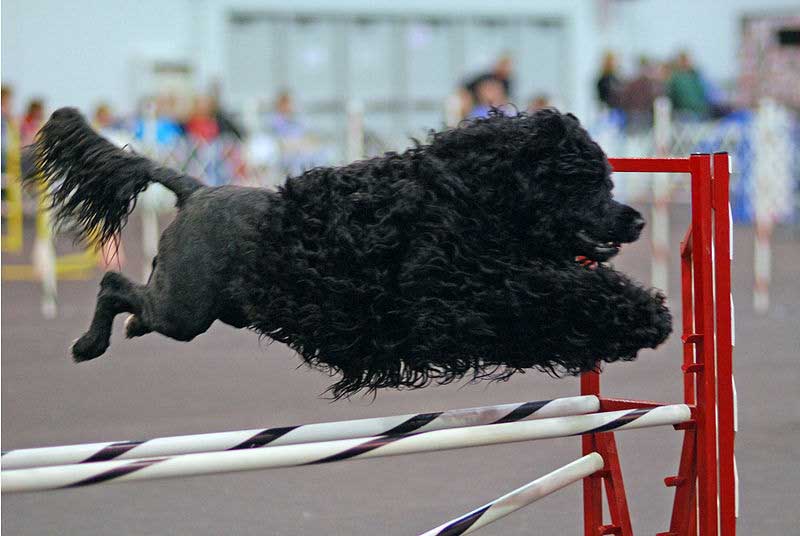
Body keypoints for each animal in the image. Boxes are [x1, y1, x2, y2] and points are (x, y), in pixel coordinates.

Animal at [28, 107, 672, 396]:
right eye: (584, 180)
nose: (636, 218)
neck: (464, 195)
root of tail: (196, 189)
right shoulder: (459, 299)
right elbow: (556, 295)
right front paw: (644, 319)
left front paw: (643, 315)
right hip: (185, 308)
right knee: (115, 286)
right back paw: (89, 344)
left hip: (191, 310)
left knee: (136, 302)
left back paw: (125, 332)